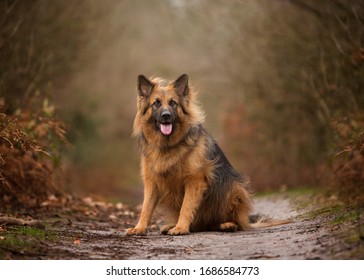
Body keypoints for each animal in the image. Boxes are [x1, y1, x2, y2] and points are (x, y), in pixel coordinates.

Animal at [126, 73, 255, 235]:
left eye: (173, 103)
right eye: (156, 103)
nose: (166, 115)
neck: (168, 145)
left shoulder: (194, 180)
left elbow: (186, 207)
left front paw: (181, 227)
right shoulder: (152, 182)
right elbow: (146, 207)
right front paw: (140, 228)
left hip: (234, 188)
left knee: (236, 220)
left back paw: (227, 224)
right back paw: (171, 226)